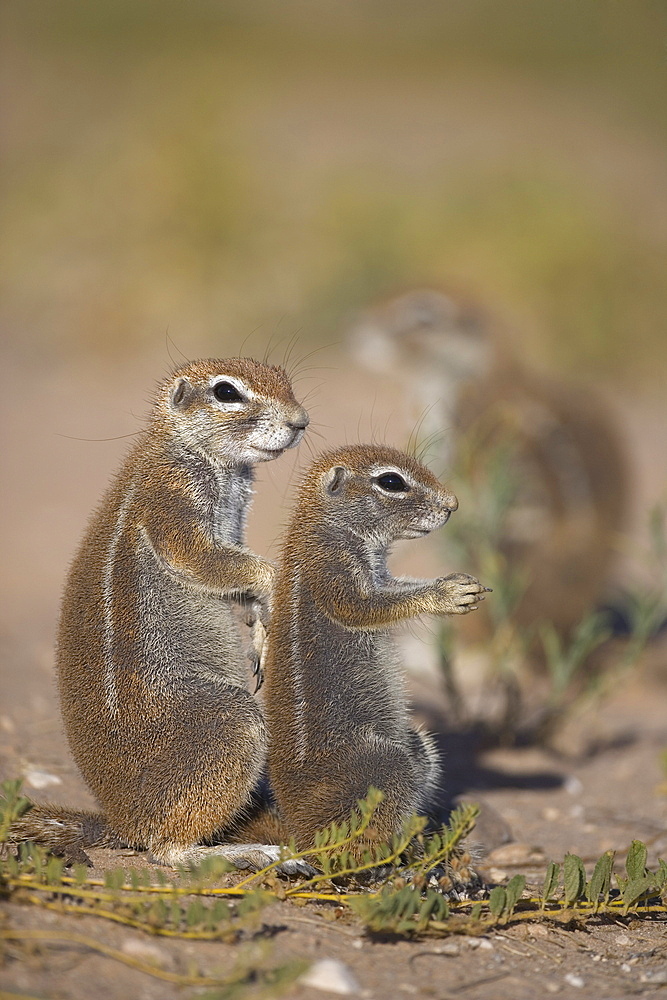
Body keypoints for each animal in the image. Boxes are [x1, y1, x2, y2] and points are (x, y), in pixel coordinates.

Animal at [11, 358, 312, 868]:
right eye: (227, 392)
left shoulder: (233, 526)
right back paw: (253, 852)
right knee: (165, 852)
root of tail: (120, 824)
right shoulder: (174, 509)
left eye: (284, 378)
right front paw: (272, 597)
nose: (300, 422)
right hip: (229, 724)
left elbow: (239, 582)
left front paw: (259, 632)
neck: (184, 449)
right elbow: (217, 562)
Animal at [262, 442, 490, 848]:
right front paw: (448, 592)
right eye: (391, 482)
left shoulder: (380, 575)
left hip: (418, 746)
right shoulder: (332, 569)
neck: (324, 525)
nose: (453, 504)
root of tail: (298, 831)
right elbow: (365, 606)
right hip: (388, 764)